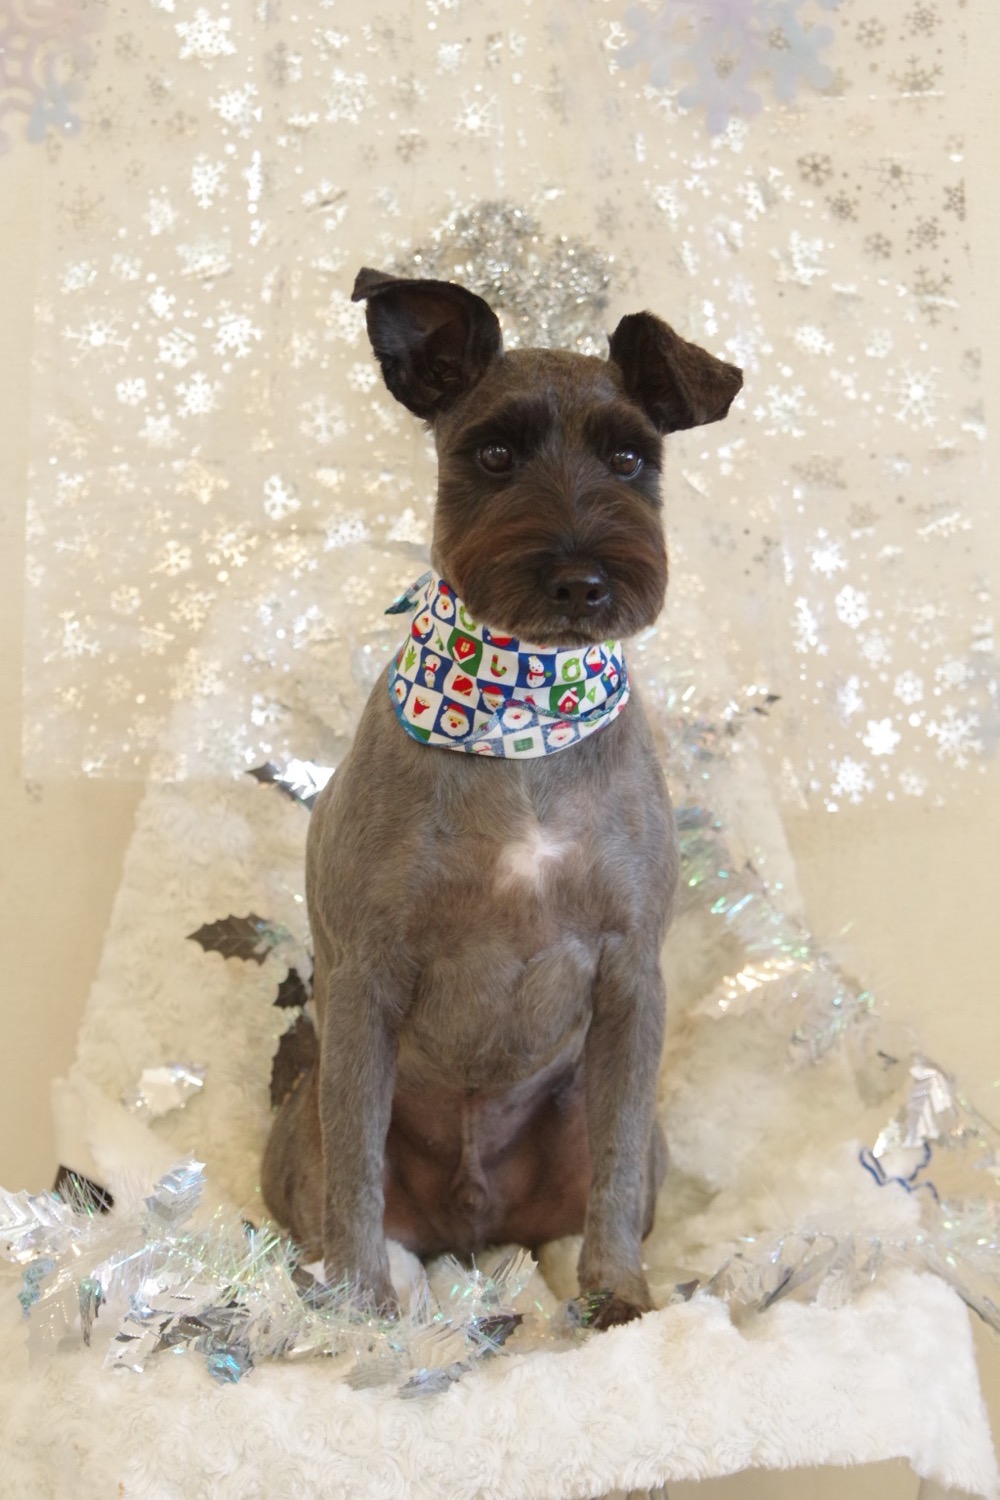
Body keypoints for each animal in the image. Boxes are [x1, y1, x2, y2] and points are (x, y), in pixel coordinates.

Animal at [261, 268, 742, 1327]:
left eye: (630, 458)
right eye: (491, 454)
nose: (582, 578)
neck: (522, 720)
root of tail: (473, 1233)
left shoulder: (630, 978)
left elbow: (612, 1169)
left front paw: (620, 1293)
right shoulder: (364, 978)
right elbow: (354, 1174)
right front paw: (364, 1316)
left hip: (611, 1123)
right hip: (300, 1123)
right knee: (336, 1198)